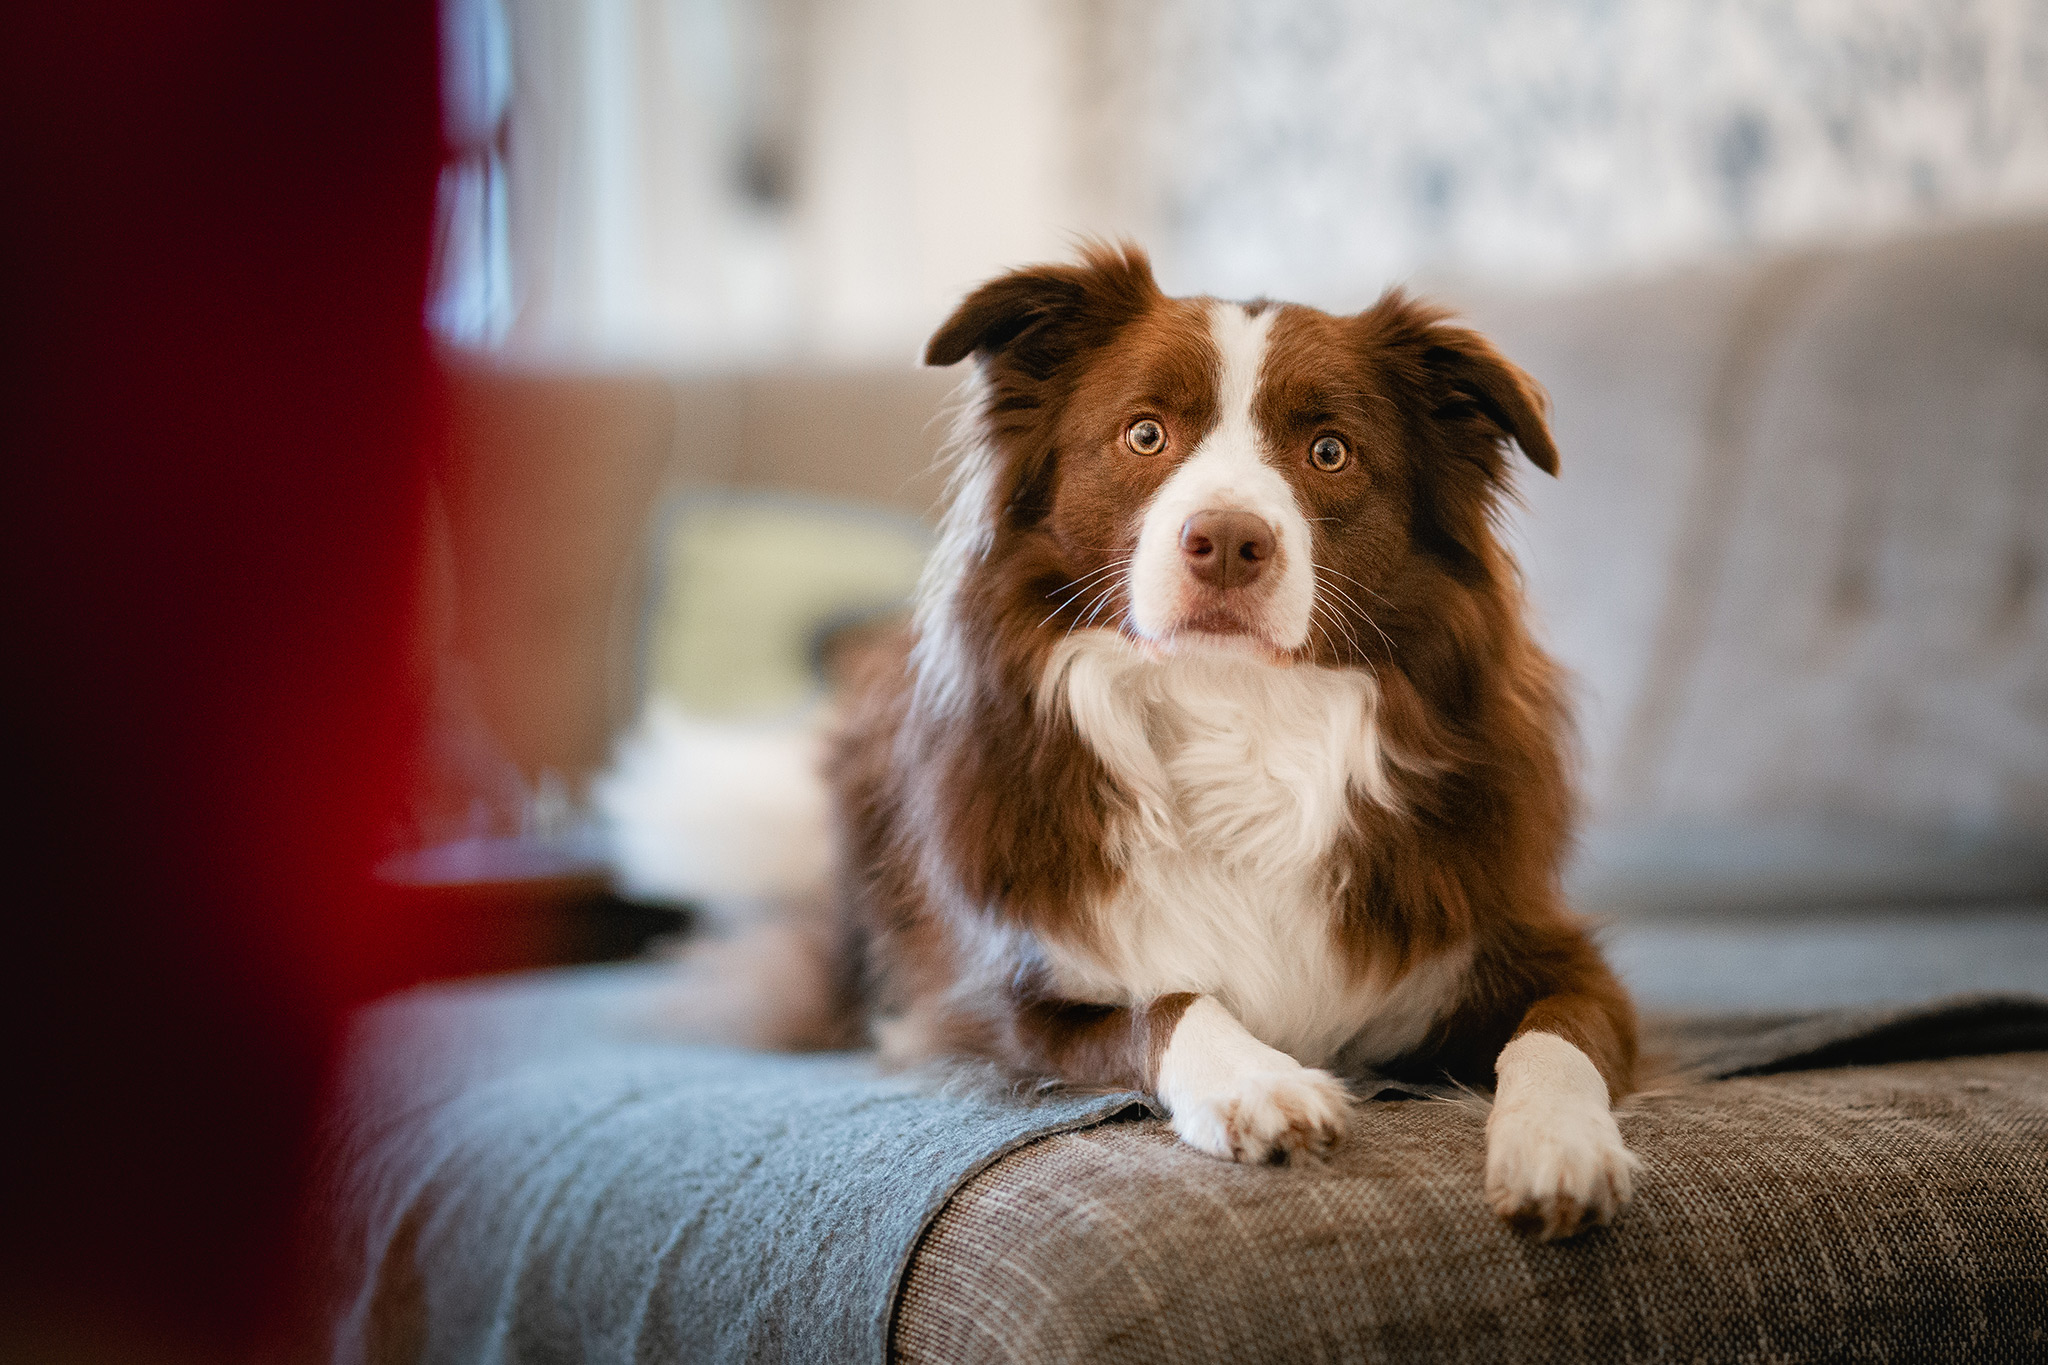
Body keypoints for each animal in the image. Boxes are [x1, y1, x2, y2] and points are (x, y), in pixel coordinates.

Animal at [614, 240, 1638, 1244]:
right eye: (1145, 435)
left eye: (1330, 451)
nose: (1226, 540)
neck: (1232, 707)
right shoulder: (994, 1007)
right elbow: (1168, 1000)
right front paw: (1259, 1081)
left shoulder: (1538, 945)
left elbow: (1559, 1033)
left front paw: (1559, 1141)